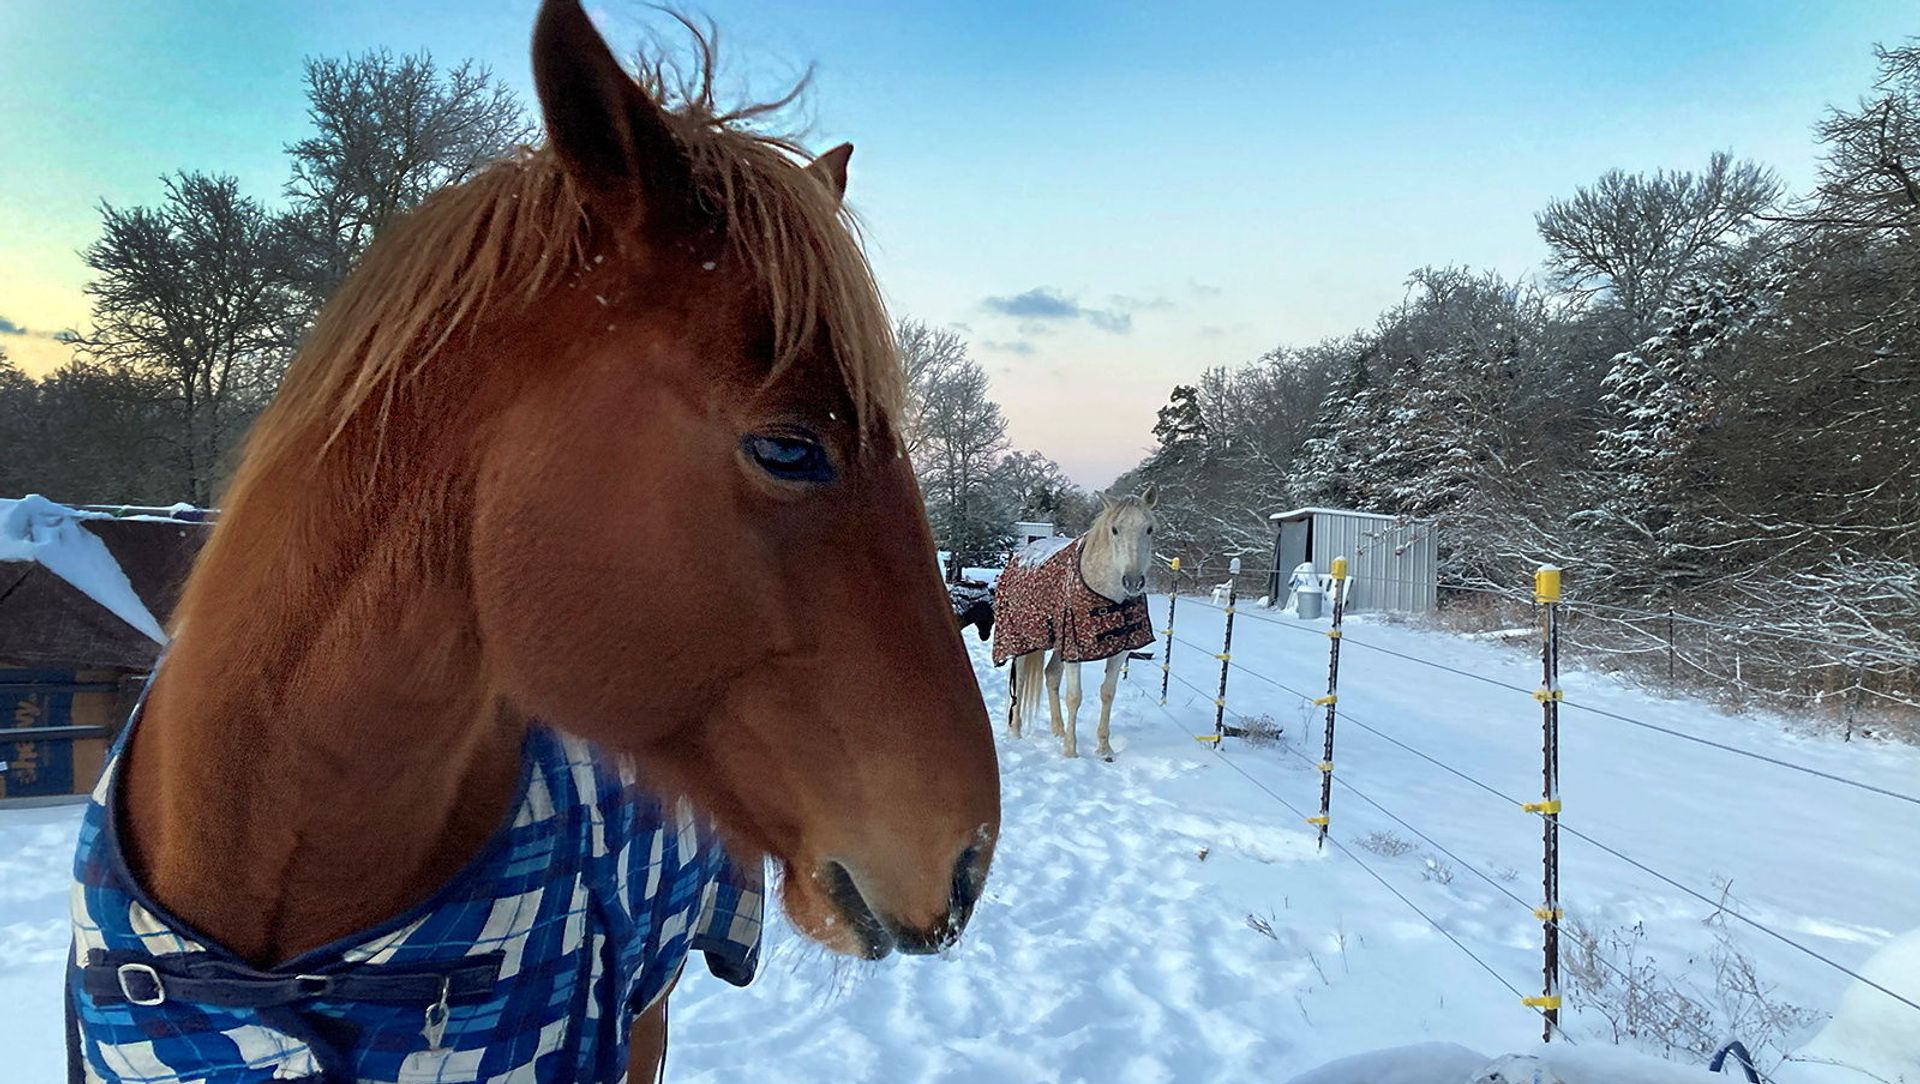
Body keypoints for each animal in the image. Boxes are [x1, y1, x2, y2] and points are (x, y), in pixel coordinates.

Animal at [992, 488, 1159, 760]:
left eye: (1149, 529)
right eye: (1114, 529)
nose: (1133, 582)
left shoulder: (1120, 651)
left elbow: (1107, 693)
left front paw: (1104, 748)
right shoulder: (1074, 649)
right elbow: (1074, 697)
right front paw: (1071, 750)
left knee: (1050, 676)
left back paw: (1058, 730)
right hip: (1022, 641)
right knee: (1020, 679)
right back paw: (1016, 731)